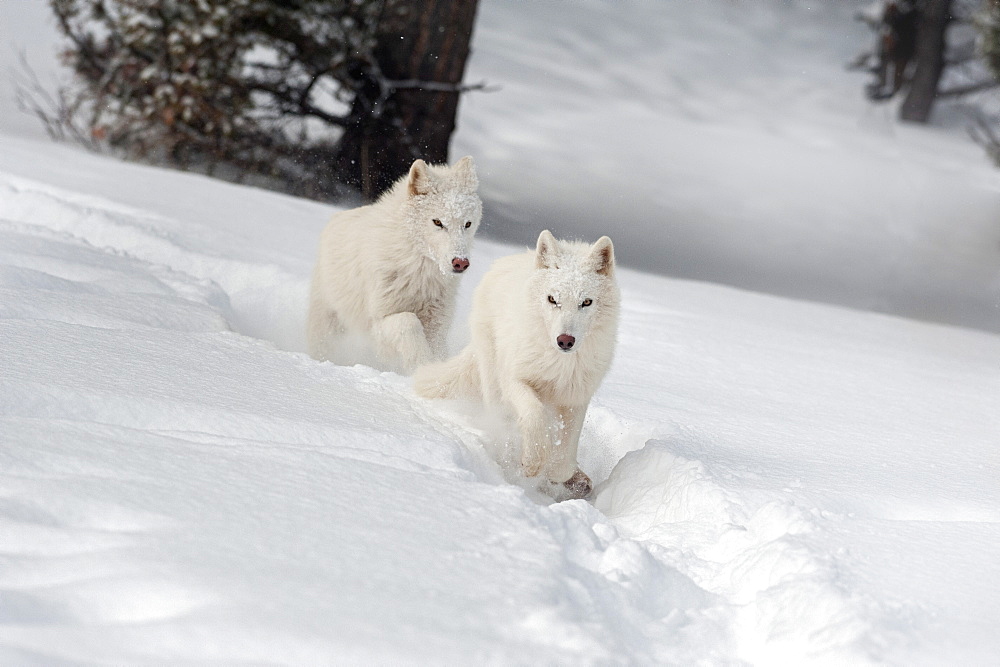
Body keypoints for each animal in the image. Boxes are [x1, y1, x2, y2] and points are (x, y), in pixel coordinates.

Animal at [306, 158, 482, 376]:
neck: (419, 275)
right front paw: (420, 364)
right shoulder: (378, 323)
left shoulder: (437, 326)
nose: (461, 262)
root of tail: (337, 217)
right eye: (438, 222)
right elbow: (408, 323)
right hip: (328, 325)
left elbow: (437, 351)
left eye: (467, 224)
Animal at [412, 232, 616, 498]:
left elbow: (563, 461)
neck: (559, 364)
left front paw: (556, 473)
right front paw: (532, 462)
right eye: (553, 299)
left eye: (587, 302)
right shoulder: (515, 380)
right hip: (494, 382)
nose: (565, 341)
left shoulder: (576, 398)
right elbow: (534, 415)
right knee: (503, 426)